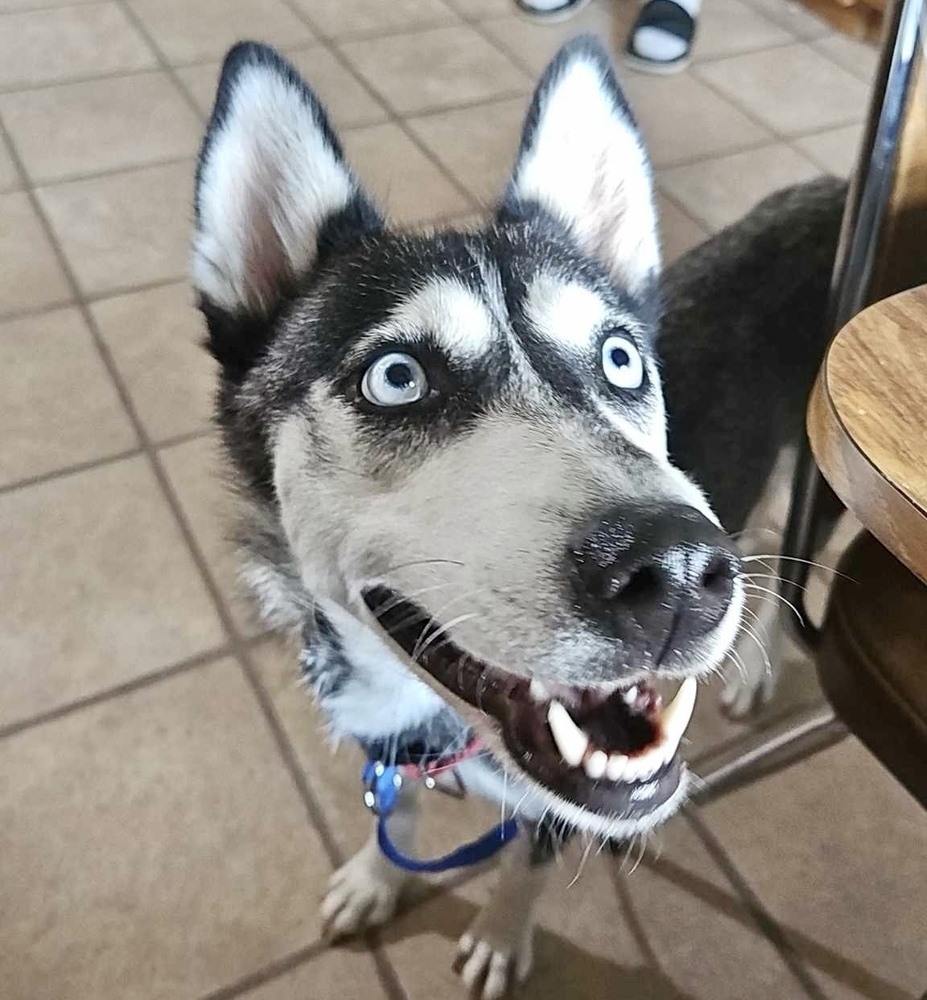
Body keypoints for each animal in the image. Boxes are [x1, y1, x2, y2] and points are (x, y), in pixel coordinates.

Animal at [192, 35, 844, 996]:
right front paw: (376, 878)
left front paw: (500, 940)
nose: (678, 572)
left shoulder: (551, 811)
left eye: (619, 358)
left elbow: (524, 864)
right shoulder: (394, 745)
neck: (439, 721)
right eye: (396, 377)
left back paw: (757, 663)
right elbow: (398, 814)